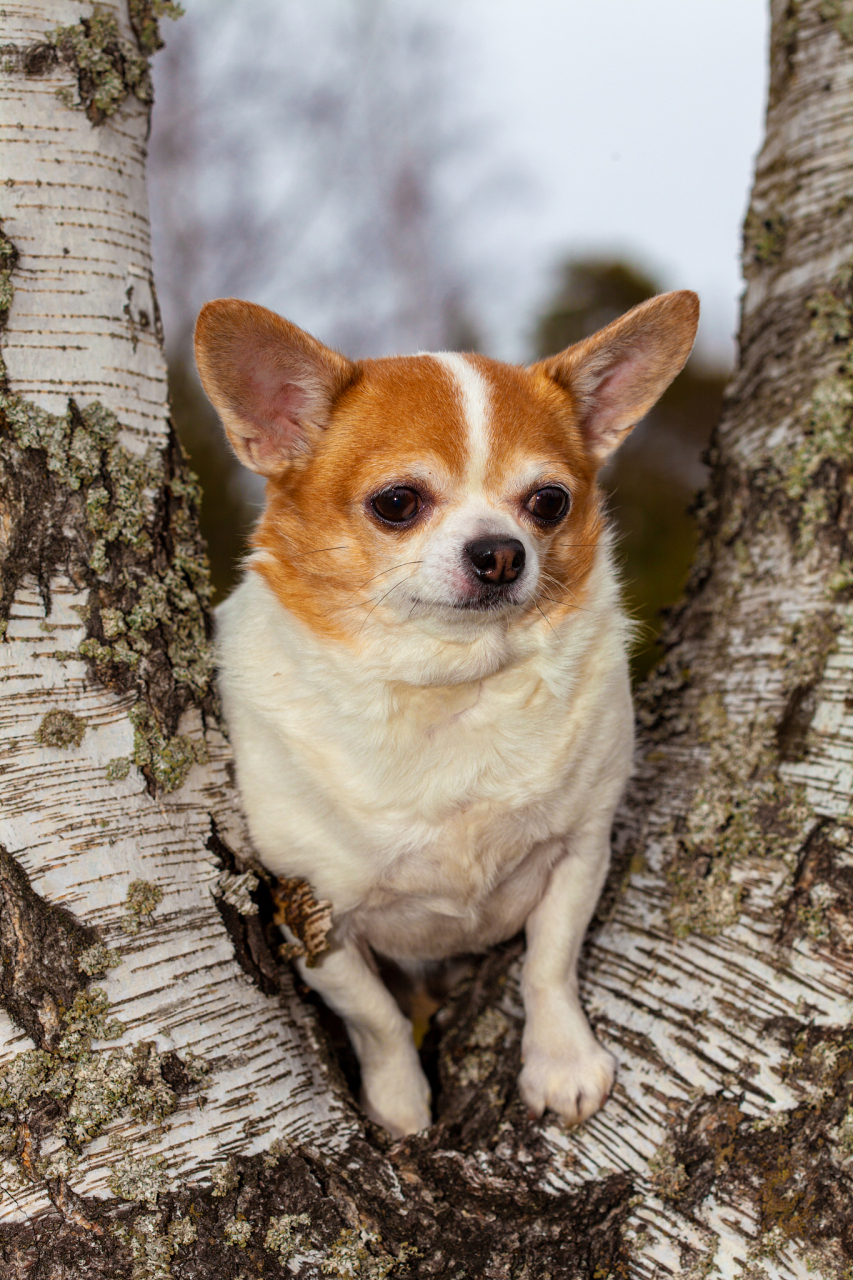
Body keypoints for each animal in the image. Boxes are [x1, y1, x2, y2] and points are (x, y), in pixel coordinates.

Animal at [194, 293, 696, 1141]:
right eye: (397, 504)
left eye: (549, 502)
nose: (499, 552)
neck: (454, 686)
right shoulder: (311, 917)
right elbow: (378, 1021)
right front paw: (398, 1109)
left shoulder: (579, 851)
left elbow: (547, 964)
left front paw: (560, 1064)